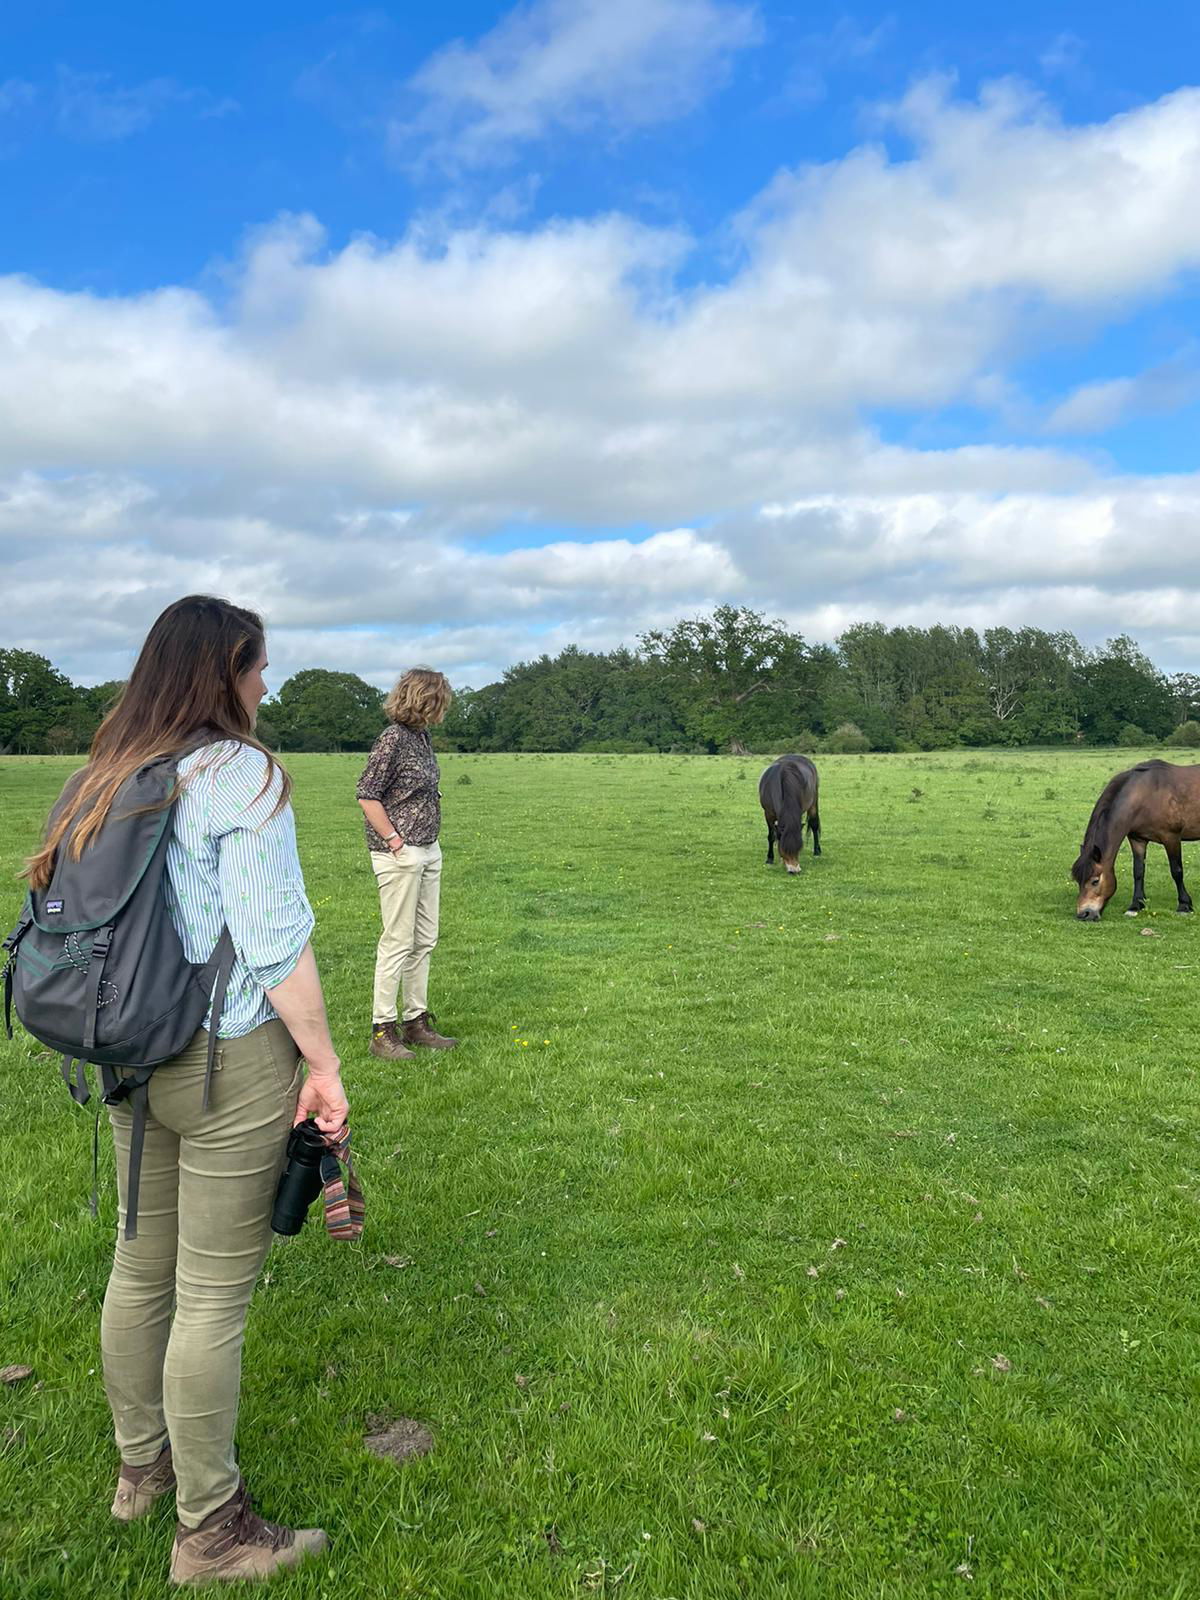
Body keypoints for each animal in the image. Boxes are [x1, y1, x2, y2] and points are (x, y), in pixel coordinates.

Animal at [1075, 764, 1200, 928]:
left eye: (1095, 881)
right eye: (1077, 881)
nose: (1084, 914)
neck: (1146, 795)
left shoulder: (1171, 837)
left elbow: (1176, 871)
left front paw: (1184, 905)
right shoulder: (1137, 839)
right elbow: (1138, 871)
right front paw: (1136, 905)